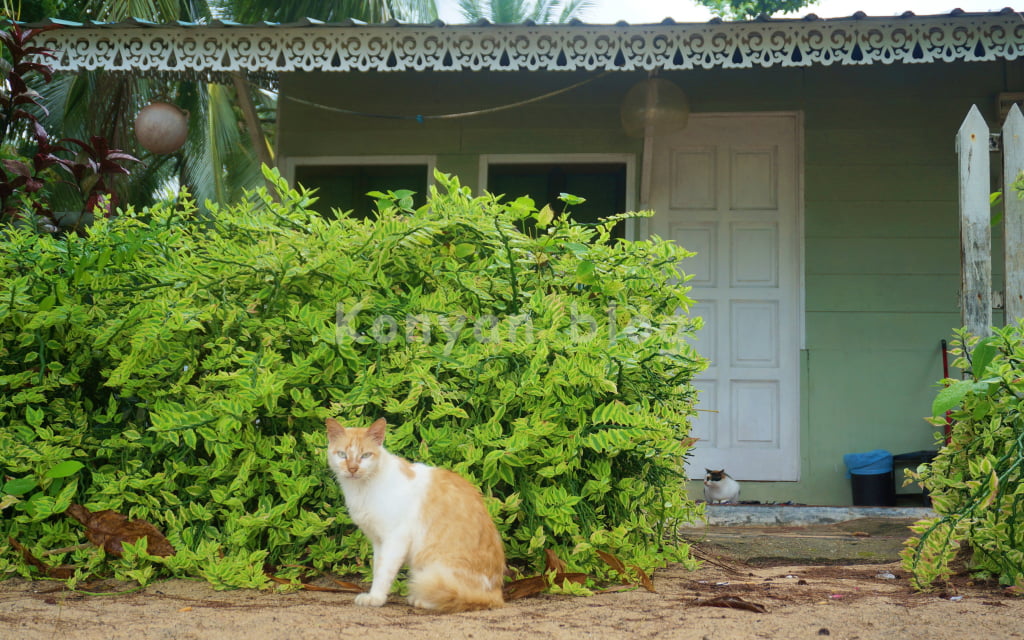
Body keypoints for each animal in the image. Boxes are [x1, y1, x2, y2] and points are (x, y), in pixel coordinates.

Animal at [325, 417, 505, 610]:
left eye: (365, 455)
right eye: (342, 454)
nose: (352, 468)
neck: (361, 489)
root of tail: (496, 594)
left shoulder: (395, 538)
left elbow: (383, 572)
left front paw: (376, 598)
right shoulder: (378, 541)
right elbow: (377, 568)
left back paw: (422, 600)